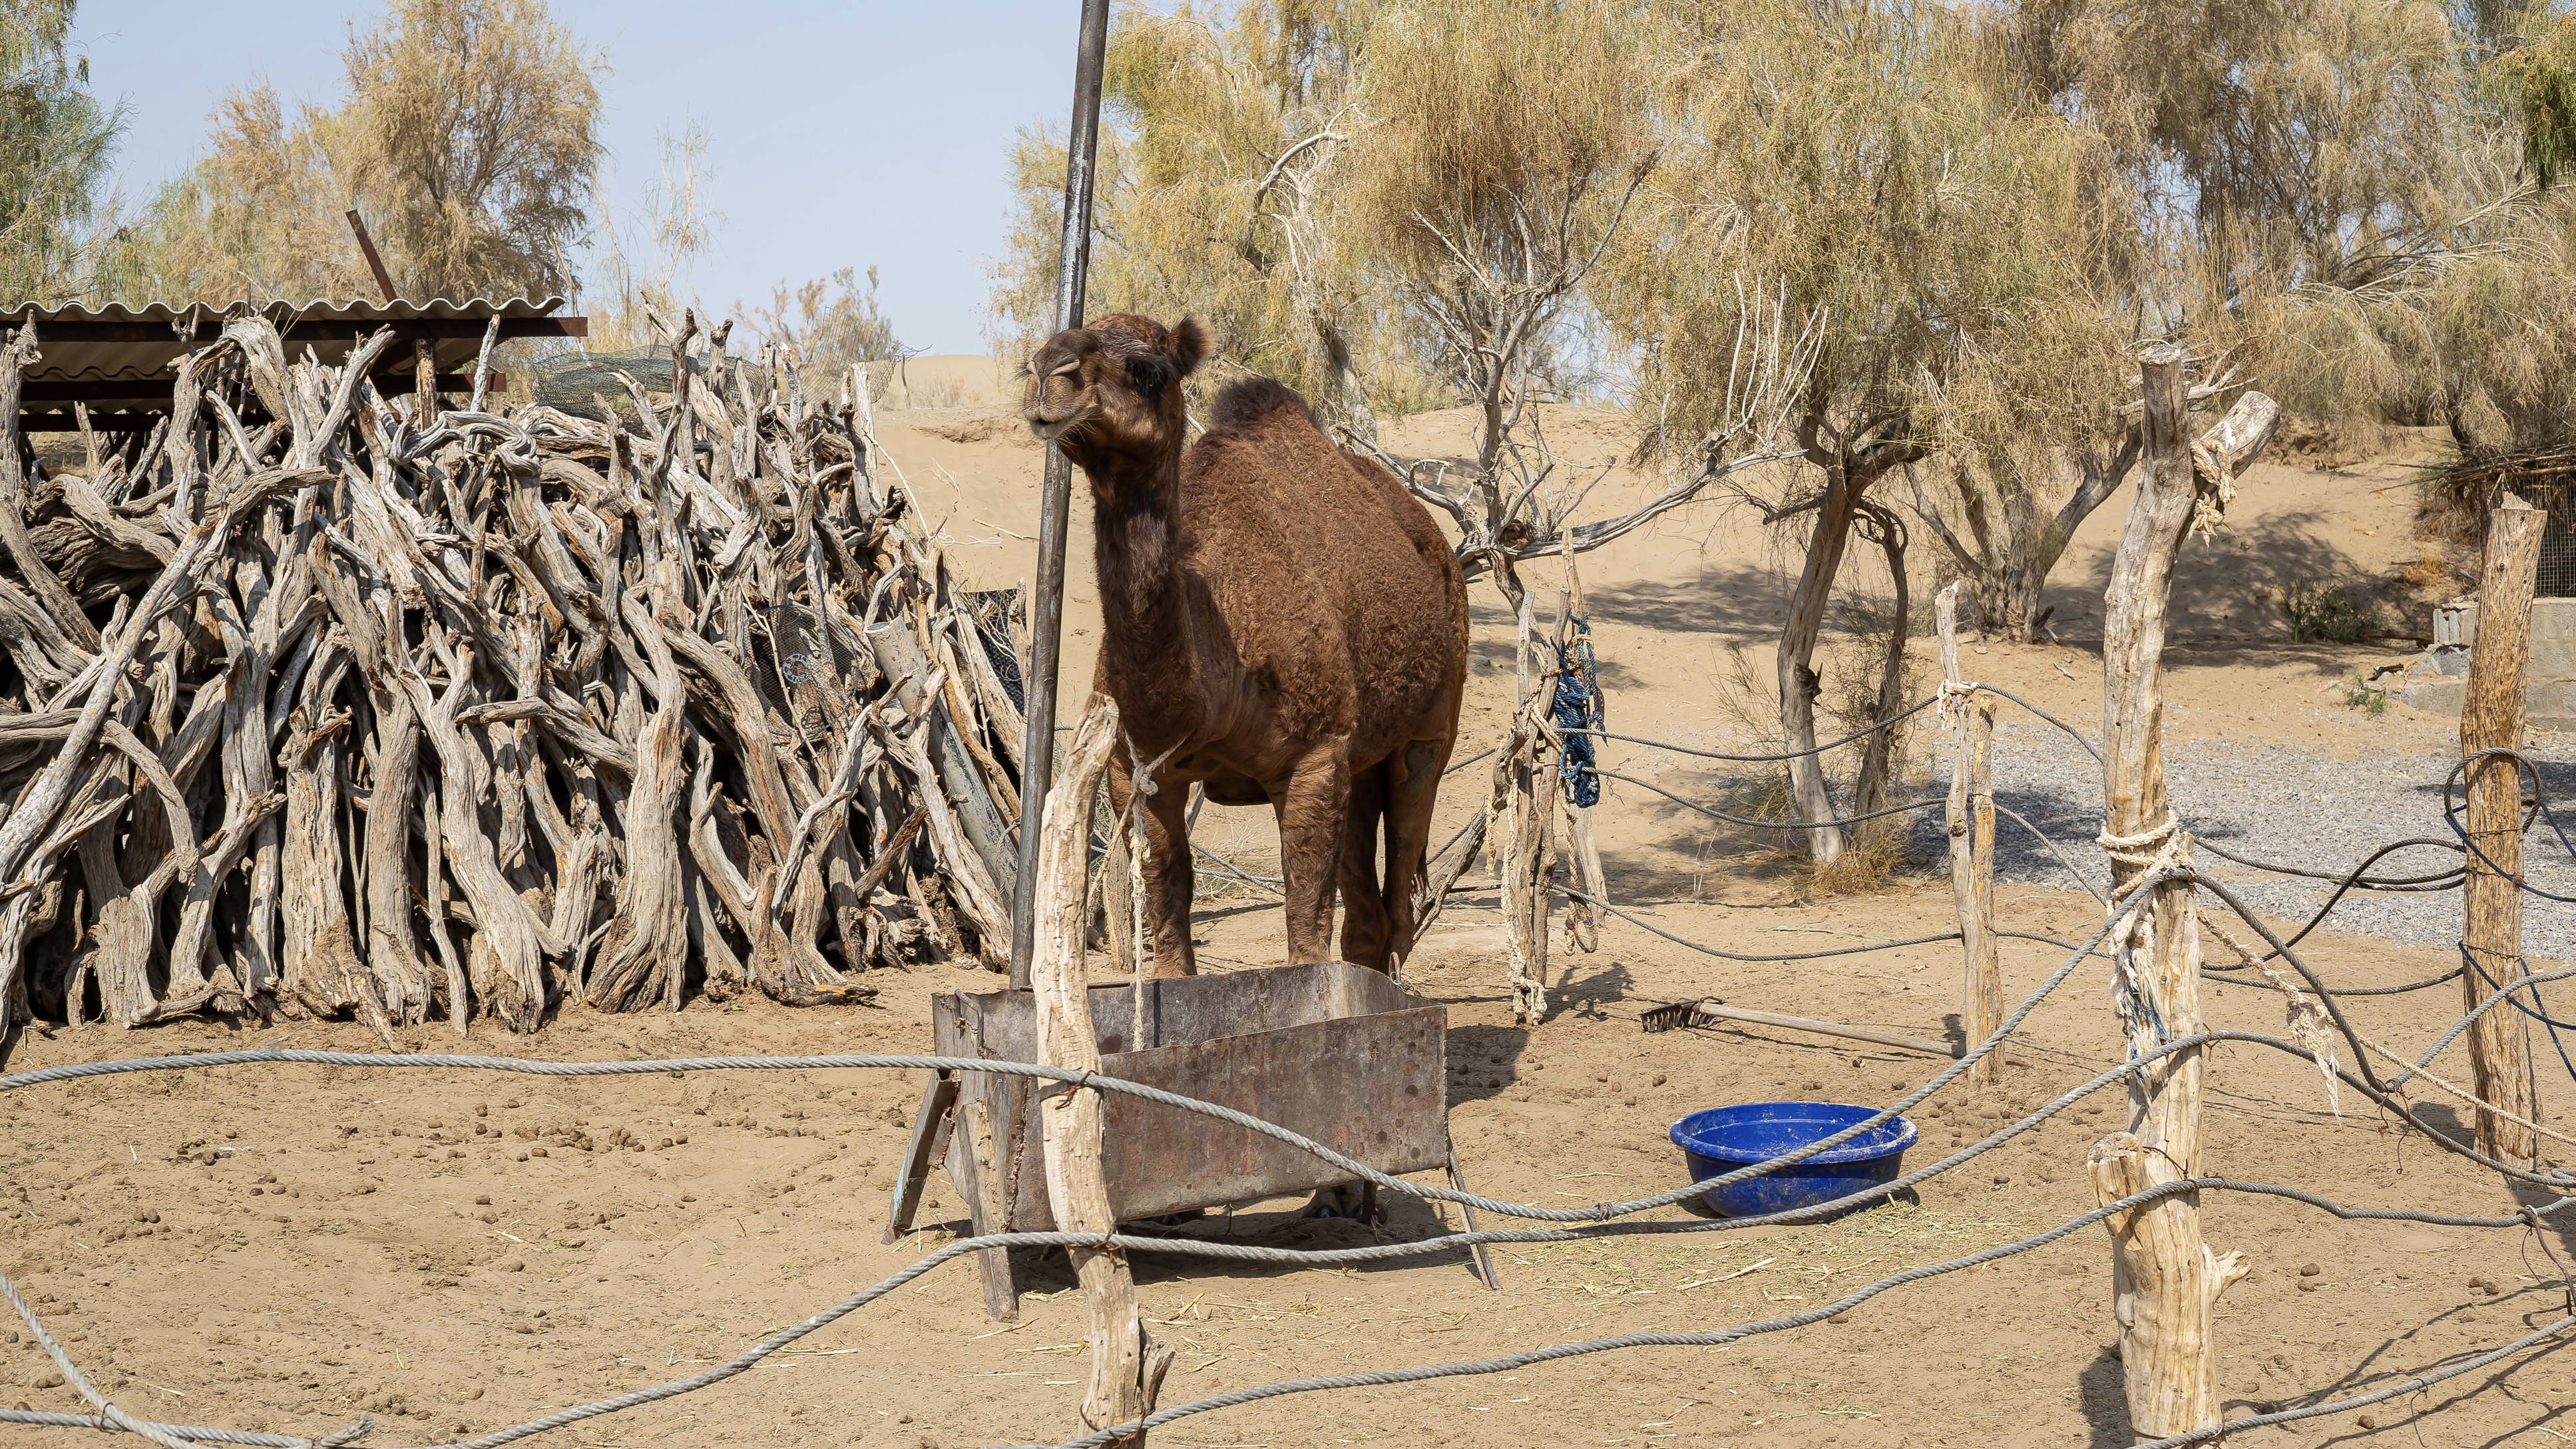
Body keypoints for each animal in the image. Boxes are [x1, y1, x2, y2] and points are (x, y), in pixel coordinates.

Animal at [1023, 313, 1468, 980]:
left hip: (1429, 730)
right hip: (1360, 757)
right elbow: (1167, 902)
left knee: (1401, 884)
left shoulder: (1314, 755)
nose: (1050, 372)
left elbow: (1305, 919)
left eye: (1148, 369)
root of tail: (1438, 543)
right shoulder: (1135, 768)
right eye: (1040, 354)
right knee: (1368, 912)